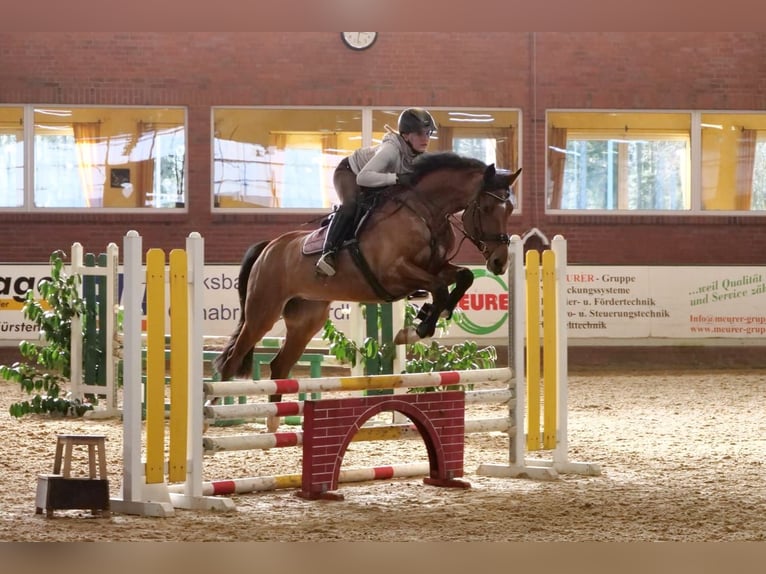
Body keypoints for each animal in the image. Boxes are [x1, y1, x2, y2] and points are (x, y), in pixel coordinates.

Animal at [213, 153, 520, 432]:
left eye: (509, 210)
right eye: (487, 206)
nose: (499, 262)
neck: (425, 211)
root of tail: (269, 246)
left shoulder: (436, 267)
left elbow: (463, 277)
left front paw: (429, 316)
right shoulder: (394, 273)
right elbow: (439, 288)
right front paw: (417, 328)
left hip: (306, 321)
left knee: (279, 366)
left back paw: (274, 422)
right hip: (263, 312)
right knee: (232, 360)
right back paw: (214, 413)